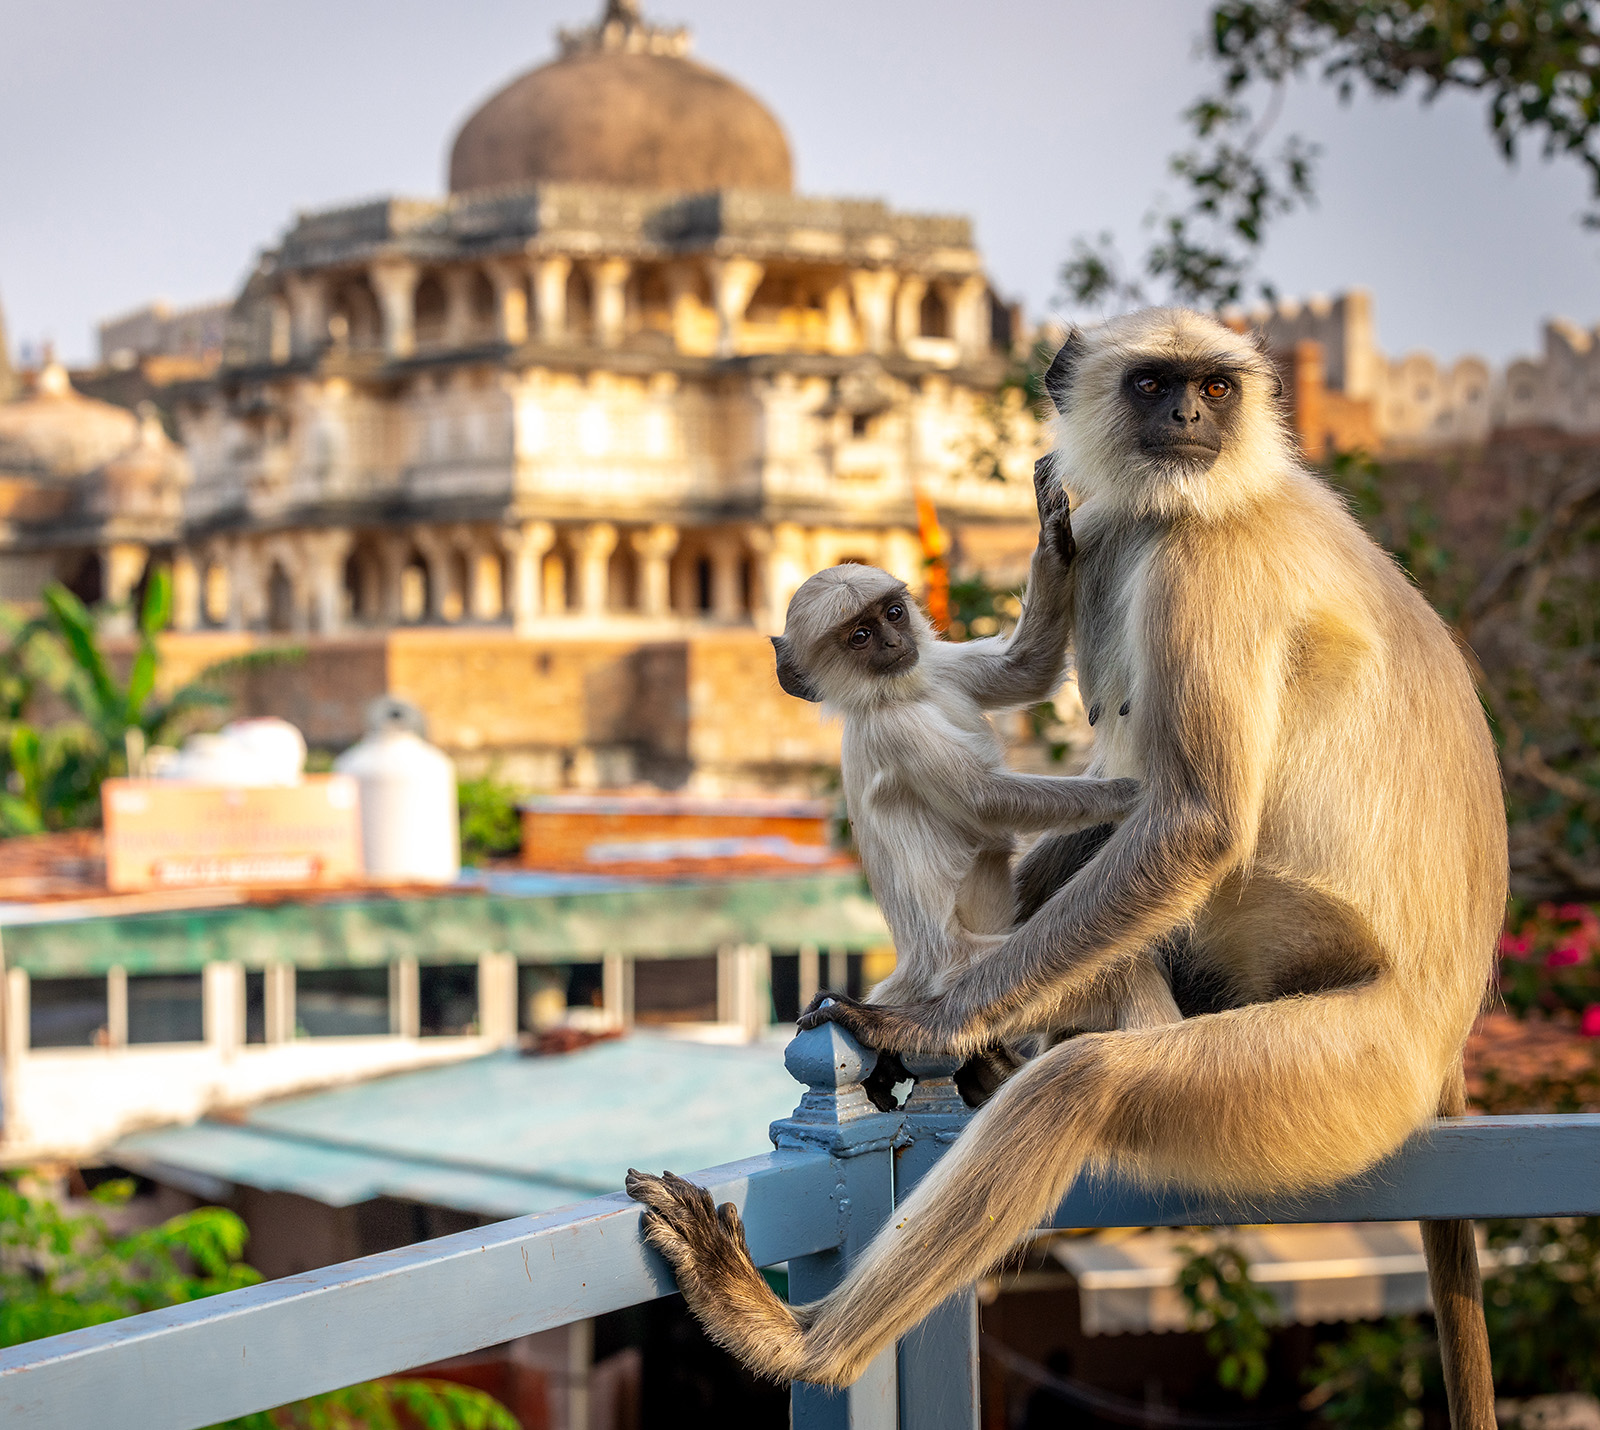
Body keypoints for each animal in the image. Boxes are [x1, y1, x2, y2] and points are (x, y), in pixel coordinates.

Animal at [767, 473, 1178, 1036]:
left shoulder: (938, 665)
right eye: (860, 636)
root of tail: (912, 971)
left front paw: (1053, 536)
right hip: (967, 968)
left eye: (892, 614)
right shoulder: (893, 729)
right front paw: (1129, 793)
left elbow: (1026, 669)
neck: (906, 693)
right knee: (1119, 970)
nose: (893, 642)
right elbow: (984, 799)